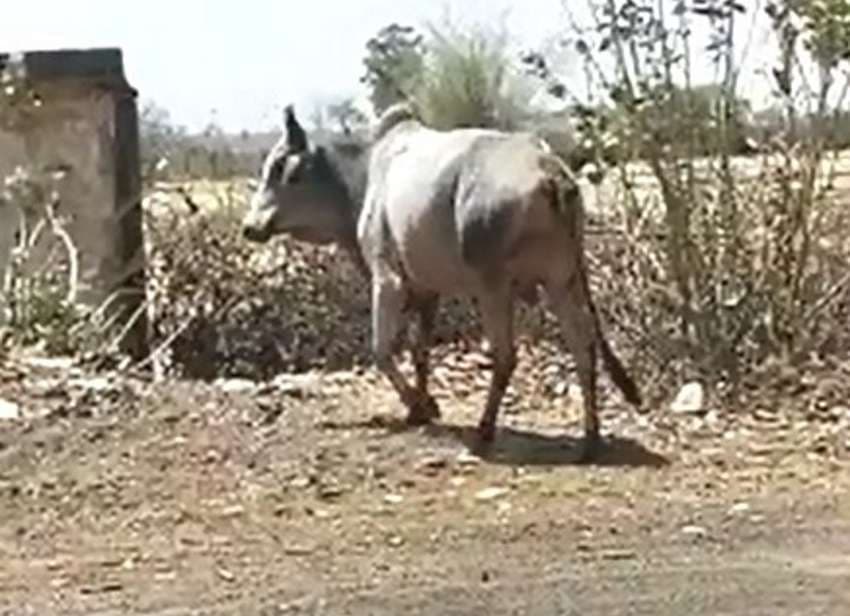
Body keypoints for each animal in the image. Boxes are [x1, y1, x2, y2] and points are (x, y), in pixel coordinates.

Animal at [238, 101, 636, 460]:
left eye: (281, 169)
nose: (248, 227)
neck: (363, 176)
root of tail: (550, 170)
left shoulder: (388, 279)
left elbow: (381, 351)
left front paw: (420, 405)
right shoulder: (428, 289)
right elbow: (420, 351)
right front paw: (423, 403)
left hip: (494, 287)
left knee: (506, 356)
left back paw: (484, 431)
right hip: (562, 282)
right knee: (583, 350)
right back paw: (590, 440)